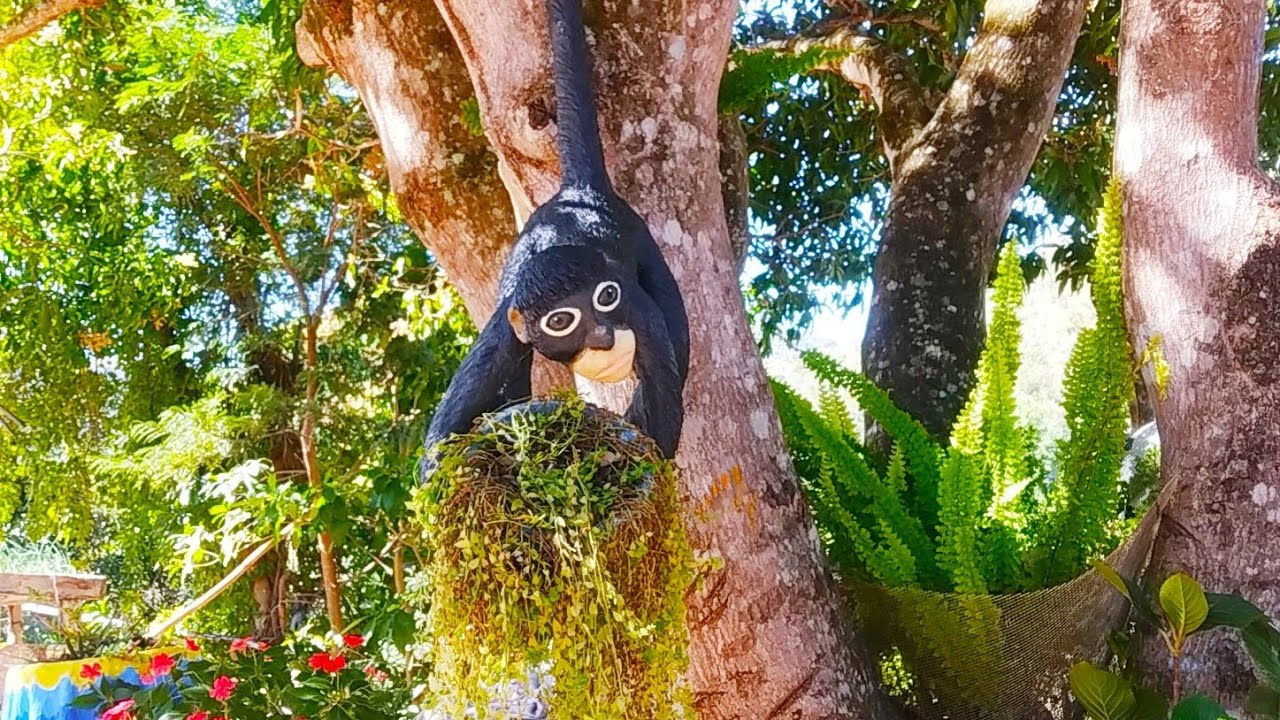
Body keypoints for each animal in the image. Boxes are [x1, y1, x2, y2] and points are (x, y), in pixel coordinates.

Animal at [421, 0, 689, 467]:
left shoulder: (640, 312)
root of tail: (578, 193)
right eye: (562, 320)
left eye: (606, 297)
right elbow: (440, 448)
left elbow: (661, 426)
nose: (603, 336)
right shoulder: (503, 335)